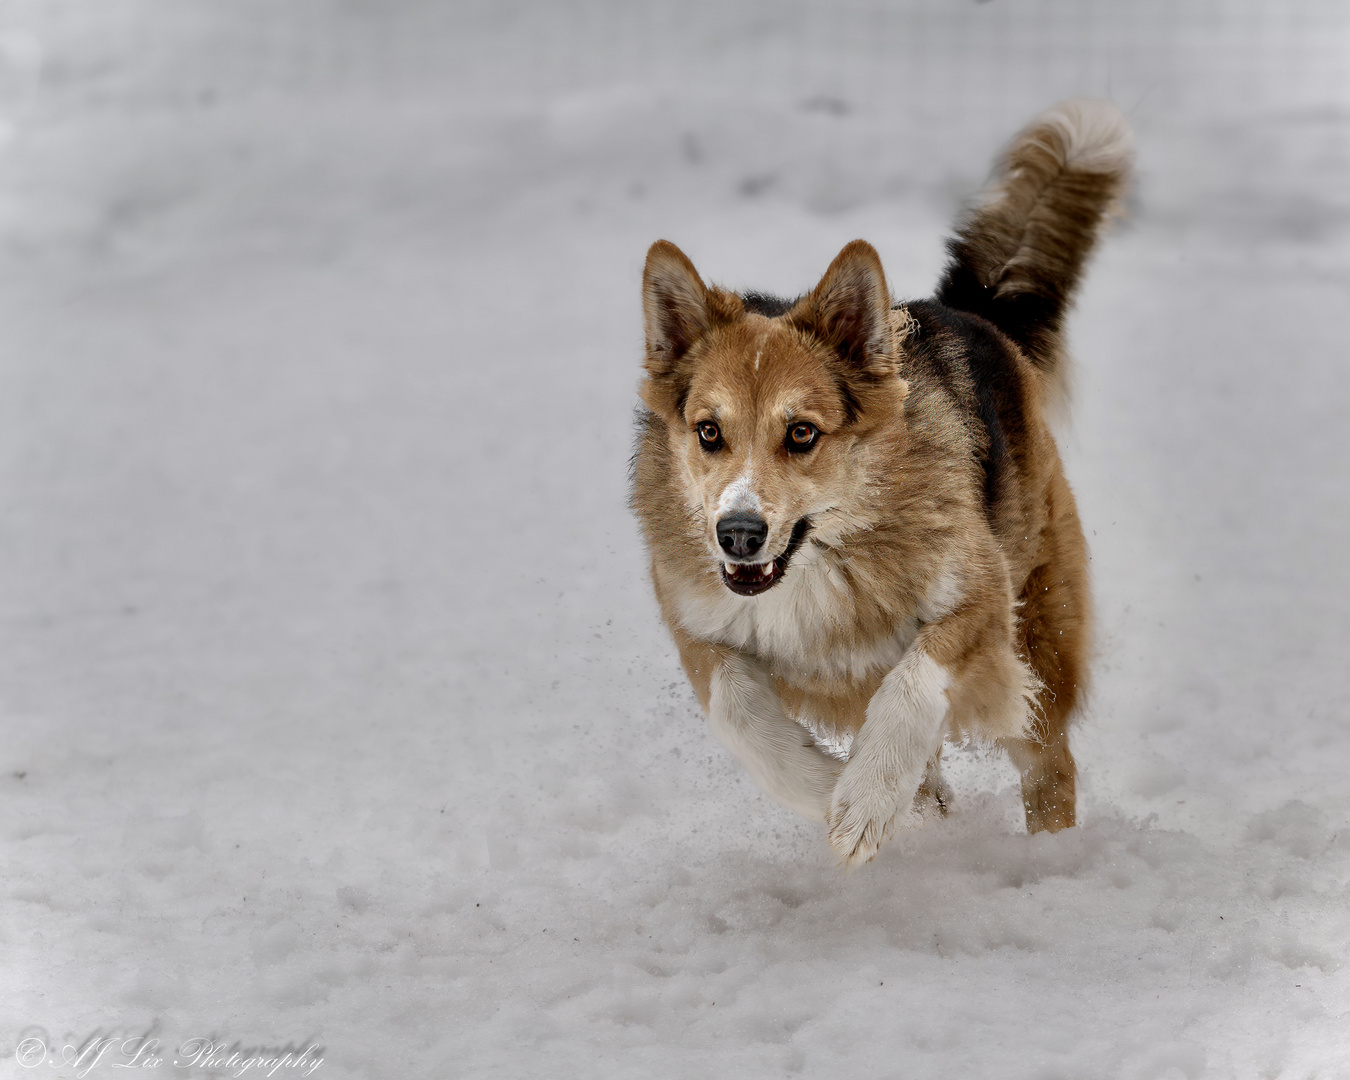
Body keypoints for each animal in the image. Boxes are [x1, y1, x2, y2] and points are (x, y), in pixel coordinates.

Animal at [629, 101, 1128, 869]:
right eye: (709, 432)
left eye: (802, 433)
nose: (737, 535)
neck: (821, 559)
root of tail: (973, 314)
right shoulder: (698, 627)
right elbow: (741, 711)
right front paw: (834, 788)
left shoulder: (978, 596)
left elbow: (914, 679)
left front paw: (867, 799)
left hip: (1040, 630)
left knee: (1050, 765)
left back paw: (1050, 855)